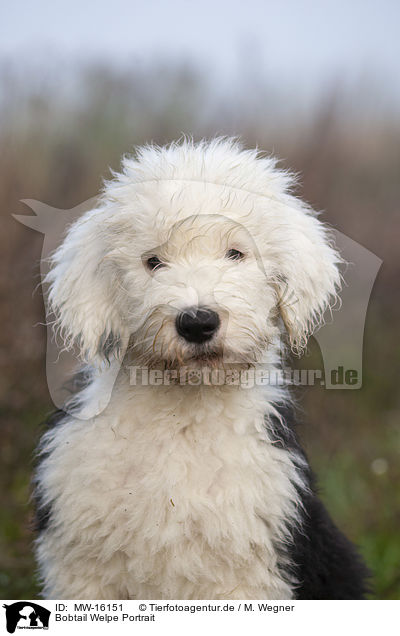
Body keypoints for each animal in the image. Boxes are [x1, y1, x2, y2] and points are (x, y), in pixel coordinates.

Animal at [34, 137, 368, 600]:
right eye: (153, 261)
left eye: (236, 253)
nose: (197, 322)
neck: (183, 418)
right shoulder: (81, 570)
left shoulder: (247, 575)